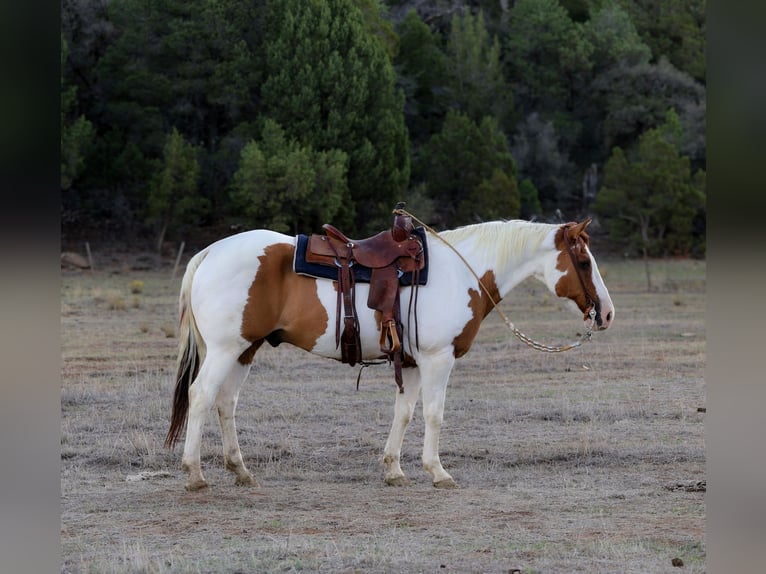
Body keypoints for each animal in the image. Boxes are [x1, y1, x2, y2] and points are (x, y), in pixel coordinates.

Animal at [164, 218, 615, 491]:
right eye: (583, 261)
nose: (607, 313)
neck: (460, 272)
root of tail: (210, 252)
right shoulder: (438, 359)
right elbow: (434, 414)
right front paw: (438, 472)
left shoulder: (412, 363)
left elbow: (405, 412)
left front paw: (394, 469)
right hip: (225, 349)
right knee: (201, 396)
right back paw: (195, 474)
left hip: (245, 349)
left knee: (226, 402)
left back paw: (240, 470)